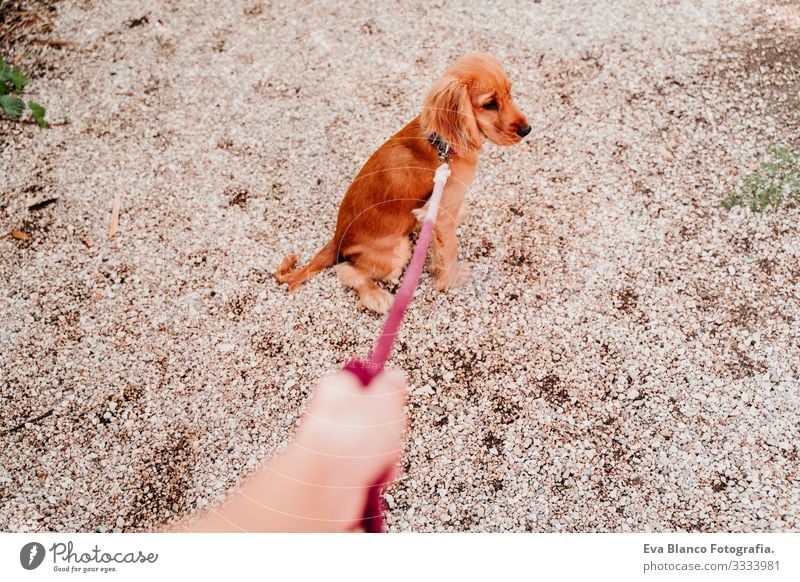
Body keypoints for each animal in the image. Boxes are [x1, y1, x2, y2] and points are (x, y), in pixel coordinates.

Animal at [276, 53, 532, 314]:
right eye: (490, 104)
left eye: (510, 93)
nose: (527, 130)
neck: (442, 143)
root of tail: (338, 239)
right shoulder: (443, 210)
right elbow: (449, 249)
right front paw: (451, 280)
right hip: (398, 250)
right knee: (347, 270)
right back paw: (378, 296)